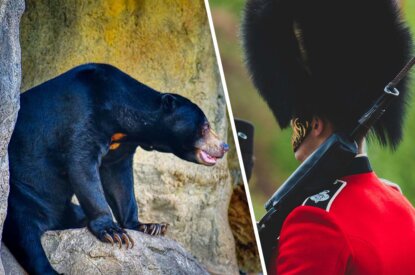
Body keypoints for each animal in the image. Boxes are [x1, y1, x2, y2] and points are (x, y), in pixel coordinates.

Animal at [4, 63, 229, 274]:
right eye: (206, 126)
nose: (224, 146)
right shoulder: (82, 118)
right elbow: (82, 166)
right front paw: (112, 231)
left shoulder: (121, 147)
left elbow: (120, 182)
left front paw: (150, 226)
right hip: (23, 194)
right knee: (27, 236)